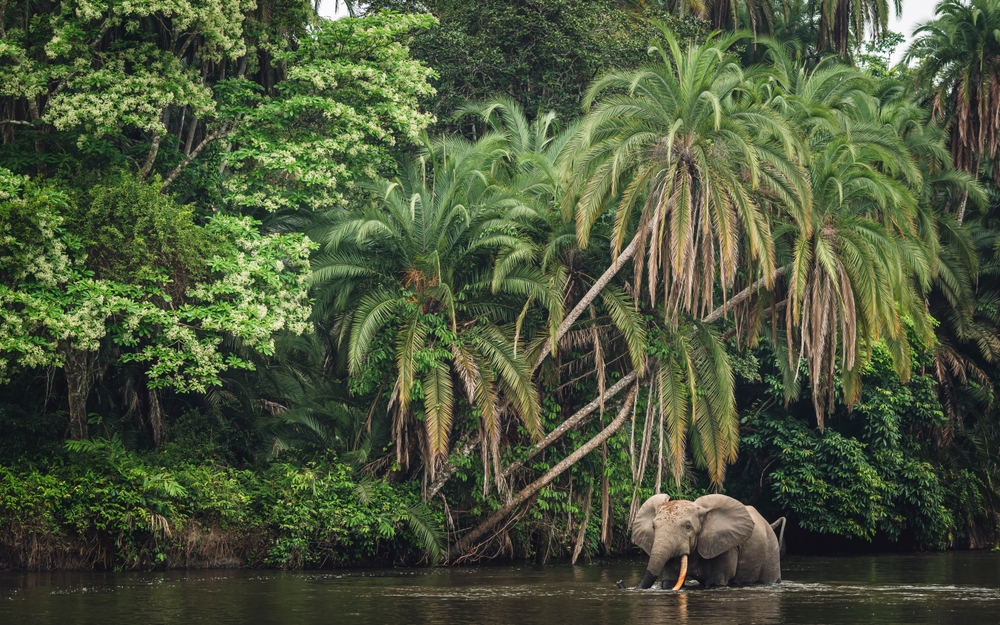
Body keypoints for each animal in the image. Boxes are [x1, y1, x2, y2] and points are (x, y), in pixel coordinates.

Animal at [628, 492, 784, 588]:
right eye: (653, 527)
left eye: (688, 527)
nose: (622, 583)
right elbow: (669, 581)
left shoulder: (726, 545)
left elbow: (717, 581)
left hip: (771, 549)